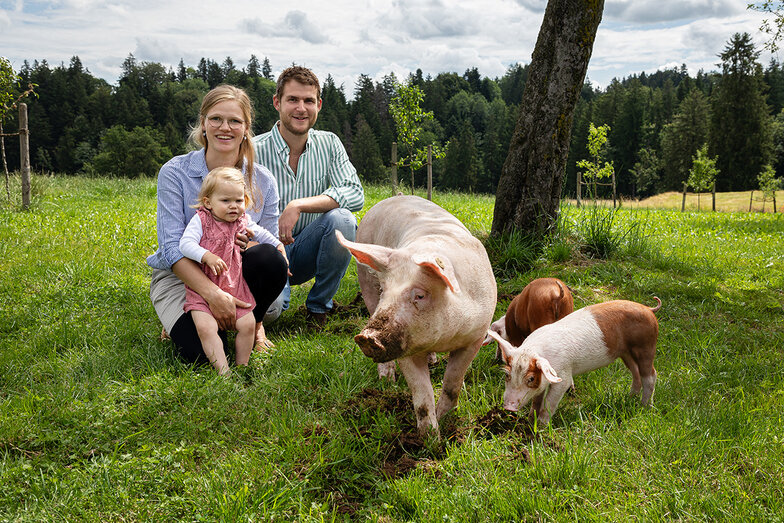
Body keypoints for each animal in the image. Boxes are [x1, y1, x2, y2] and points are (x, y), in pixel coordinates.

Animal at [336, 194, 496, 436]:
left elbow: (453, 382)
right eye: (384, 290)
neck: (446, 337)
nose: (367, 337)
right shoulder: (403, 345)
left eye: (420, 295)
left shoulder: (476, 336)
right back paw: (387, 380)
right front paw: (430, 439)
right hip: (365, 279)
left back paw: (432, 361)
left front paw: (445, 418)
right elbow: (421, 393)